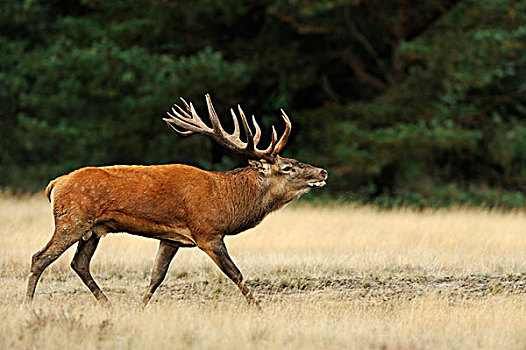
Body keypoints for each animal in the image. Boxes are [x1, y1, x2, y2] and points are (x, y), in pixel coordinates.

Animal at [27, 94, 330, 308]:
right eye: (287, 167)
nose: (322, 172)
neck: (227, 200)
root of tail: (54, 184)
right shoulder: (207, 232)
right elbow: (236, 274)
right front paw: (258, 309)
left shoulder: (171, 237)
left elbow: (156, 276)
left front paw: (139, 309)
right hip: (72, 219)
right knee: (39, 258)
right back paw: (27, 306)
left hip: (94, 229)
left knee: (79, 264)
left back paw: (109, 306)